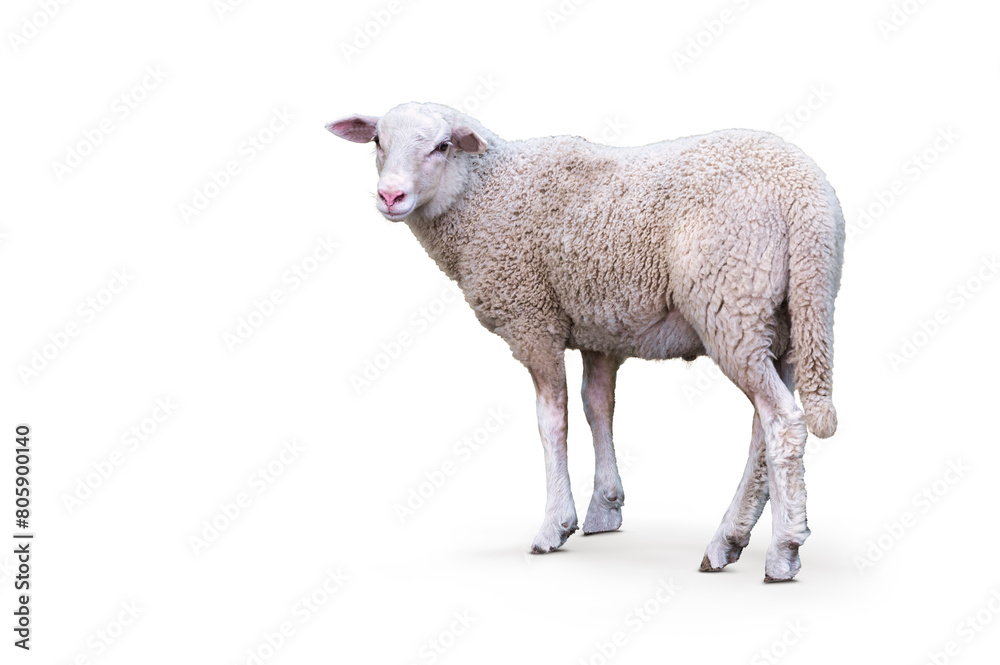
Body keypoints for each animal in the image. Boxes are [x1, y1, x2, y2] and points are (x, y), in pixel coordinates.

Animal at [325, 102, 844, 582]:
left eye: (442, 145)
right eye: (378, 142)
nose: (390, 195)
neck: (484, 193)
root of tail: (806, 199)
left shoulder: (532, 318)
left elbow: (552, 420)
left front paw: (555, 524)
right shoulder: (601, 324)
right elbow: (597, 406)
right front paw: (605, 508)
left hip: (733, 301)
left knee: (783, 422)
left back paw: (782, 551)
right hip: (787, 321)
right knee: (765, 428)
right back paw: (729, 541)